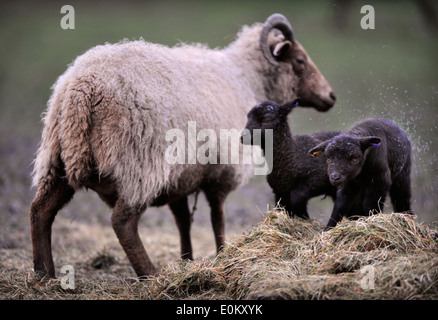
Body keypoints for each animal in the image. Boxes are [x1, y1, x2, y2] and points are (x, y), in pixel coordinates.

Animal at [30, 13, 338, 278]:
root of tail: (82, 87)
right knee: (122, 223)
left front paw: (187, 260)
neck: (246, 78)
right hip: (138, 166)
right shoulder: (221, 173)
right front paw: (222, 253)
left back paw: (44, 274)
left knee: (40, 211)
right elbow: (217, 218)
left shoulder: (180, 178)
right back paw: (149, 275)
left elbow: (183, 221)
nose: (331, 96)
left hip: (56, 159)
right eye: (300, 60)